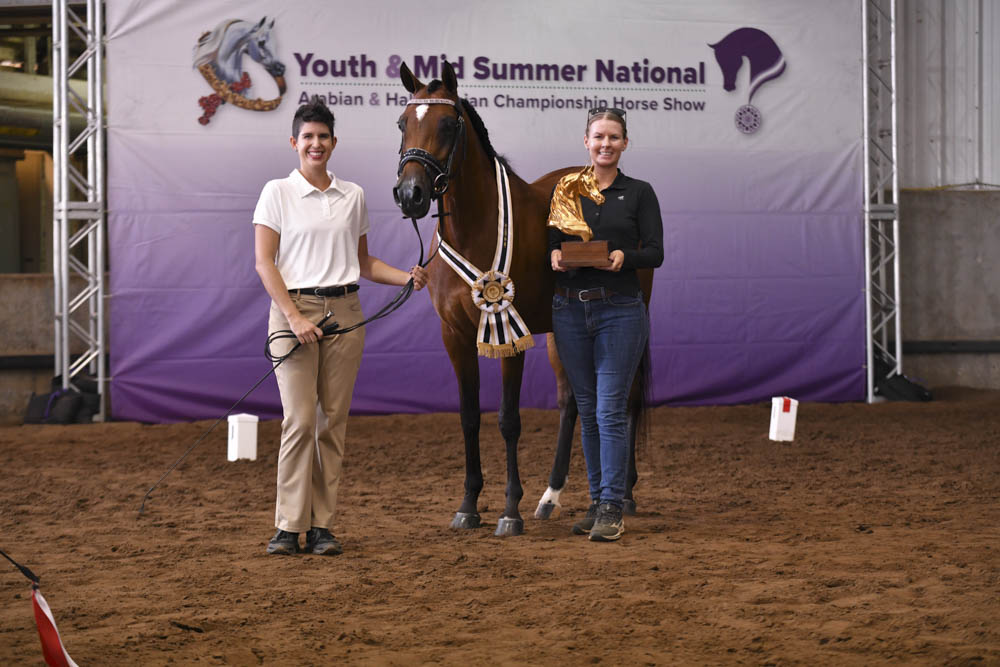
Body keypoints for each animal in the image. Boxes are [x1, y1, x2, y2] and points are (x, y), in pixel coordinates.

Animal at [392, 60, 651, 536]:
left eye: (448, 124)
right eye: (403, 123)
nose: (410, 194)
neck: (478, 226)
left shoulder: (509, 333)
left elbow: (508, 420)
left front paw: (509, 511)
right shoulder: (456, 336)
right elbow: (469, 416)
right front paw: (468, 505)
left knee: (626, 398)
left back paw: (622, 496)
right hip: (560, 333)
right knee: (573, 403)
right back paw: (551, 496)